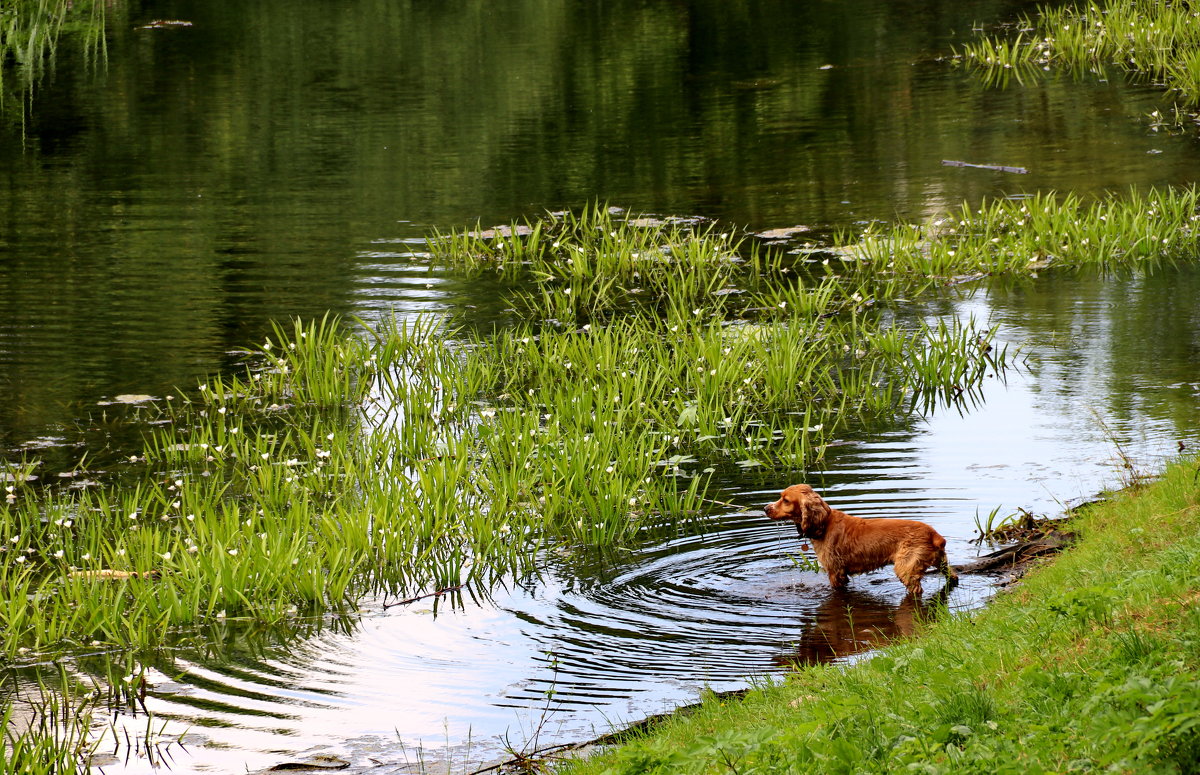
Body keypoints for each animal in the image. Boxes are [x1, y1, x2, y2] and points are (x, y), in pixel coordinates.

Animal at [768, 482, 955, 597]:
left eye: (785, 500)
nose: (765, 508)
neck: (824, 523)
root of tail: (934, 535)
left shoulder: (835, 572)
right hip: (941, 562)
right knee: (953, 577)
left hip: (906, 569)